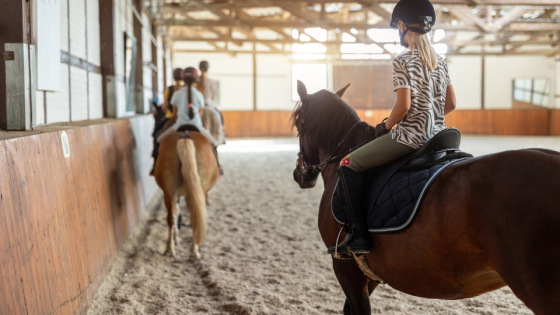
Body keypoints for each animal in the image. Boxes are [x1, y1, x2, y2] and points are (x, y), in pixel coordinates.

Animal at [158, 130, 221, 260]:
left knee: (174, 217)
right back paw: (190, 250)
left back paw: (172, 249)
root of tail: (185, 136)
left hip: (170, 193)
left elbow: (177, 212)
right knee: (192, 217)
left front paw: (177, 238)